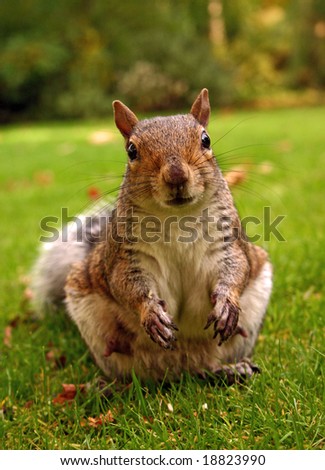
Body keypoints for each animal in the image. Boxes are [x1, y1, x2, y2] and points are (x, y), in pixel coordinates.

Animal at [32, 90, 270, 384]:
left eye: (206, 139)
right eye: (131, 151)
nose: (176, 175)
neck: (178, 219)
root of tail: (180, 370)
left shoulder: (227, 244)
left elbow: (236, 269)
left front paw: (226, 303)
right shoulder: (126, 257)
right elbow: (127, 285)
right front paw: (151, 313)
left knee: (211, 363)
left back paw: (231, 369)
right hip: (90, 316)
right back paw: (110, 386)